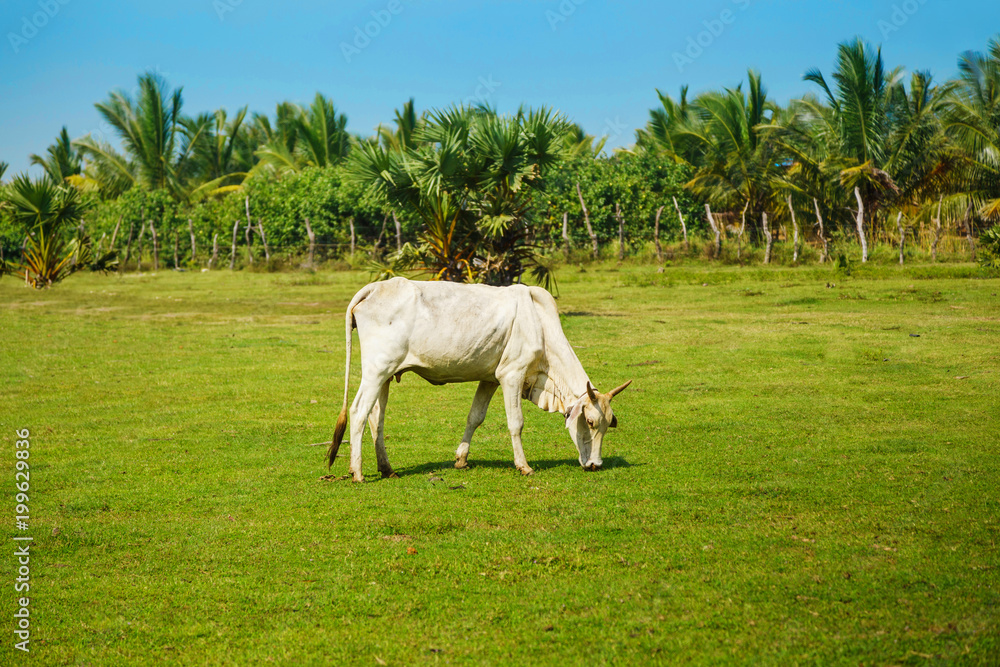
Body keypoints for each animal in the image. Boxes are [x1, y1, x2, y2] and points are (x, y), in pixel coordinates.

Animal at [327, 277, 632, 482]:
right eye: (590, 421)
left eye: (609, 424)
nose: (595, 464)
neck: (541, 326)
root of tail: (374, 287)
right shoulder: (512, 374)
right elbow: (516, 423)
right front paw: (524, 466)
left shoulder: (491, 379)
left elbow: (475, 417)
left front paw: (461, 459)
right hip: (376, 370)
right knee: (358, 412)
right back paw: (358, 472)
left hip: (386, 376)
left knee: (376, 418)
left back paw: (387, 469)